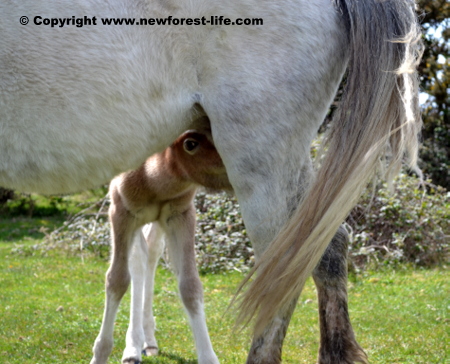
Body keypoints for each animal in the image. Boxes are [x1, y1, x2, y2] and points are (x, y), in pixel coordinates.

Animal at [91, 130, 232, 364]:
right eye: (190, 144)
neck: (154, 185)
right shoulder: (120, 210)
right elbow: (117, 279)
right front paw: (100, 354)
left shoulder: (181, 214)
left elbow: (190, 285)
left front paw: (209, 357)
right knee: (138, 259)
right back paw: (133, 347)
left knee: (151, 252)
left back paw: (148, 340)